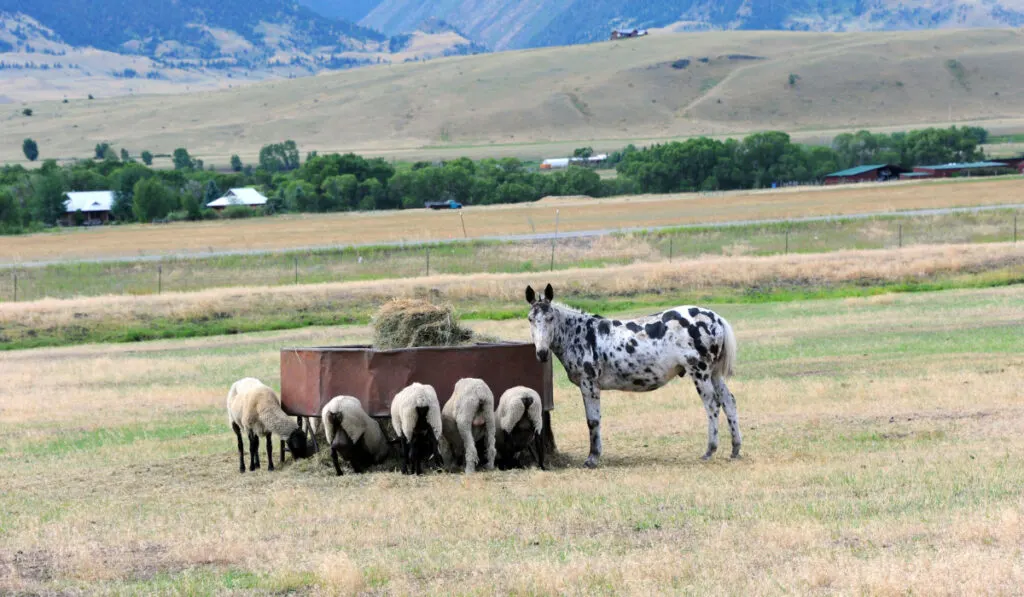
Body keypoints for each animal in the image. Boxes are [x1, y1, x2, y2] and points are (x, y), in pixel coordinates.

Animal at [528, 282, 737, 468]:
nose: (542, 353)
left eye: (550, 318)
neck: (581, 334)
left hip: (700, 372)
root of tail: (716, 318)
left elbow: (593, 421)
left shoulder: (589, 384)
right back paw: (735, 449)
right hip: (714, 374)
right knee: (729, 401)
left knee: (712, 405)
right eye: (530, 319)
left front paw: (592, 458)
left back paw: (710, 450)